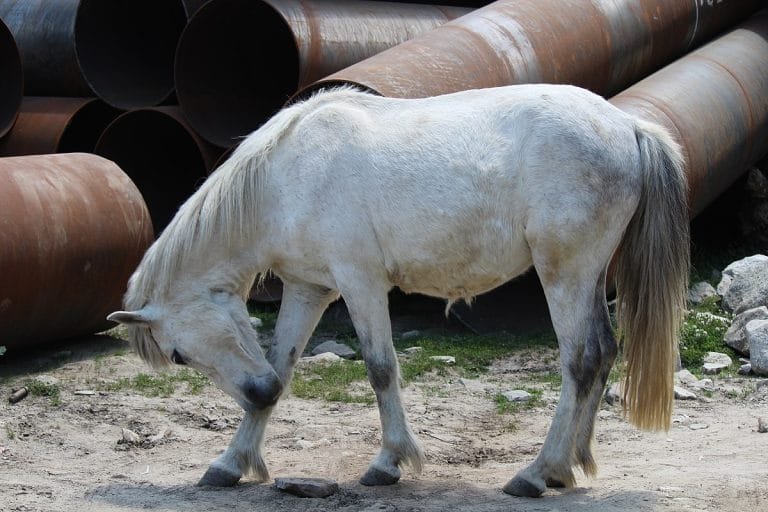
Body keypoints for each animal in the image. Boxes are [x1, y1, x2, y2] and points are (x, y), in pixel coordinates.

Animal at [107, 83, 689, 497]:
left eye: (178, 356)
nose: (258, 393)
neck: (285, 177)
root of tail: (626, 126)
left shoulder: (359, 283)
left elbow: (380, 369)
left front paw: (388, 463)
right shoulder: (307, 288)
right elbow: (284, 362)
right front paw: (231, 463)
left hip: (563, 274)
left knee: (580, 360)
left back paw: (536, 472)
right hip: (587, 277)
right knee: (604, 352)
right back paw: (565, 469)